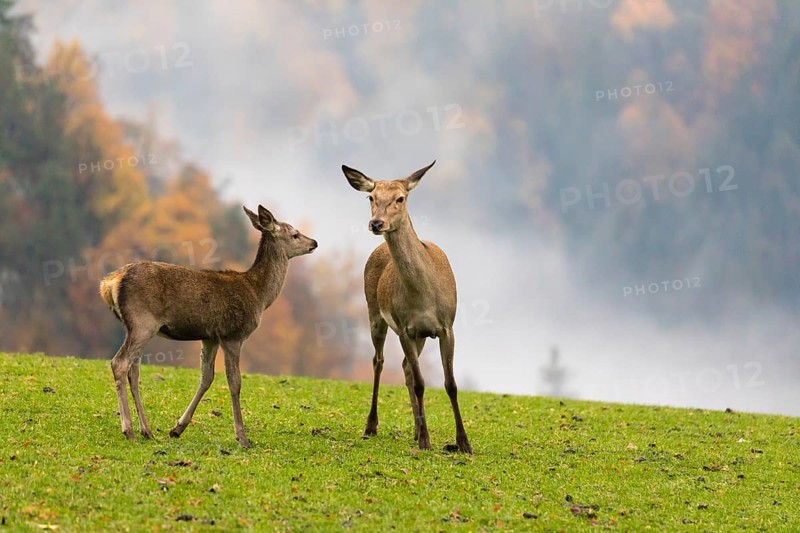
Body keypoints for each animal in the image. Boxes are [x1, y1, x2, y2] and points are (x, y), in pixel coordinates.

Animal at [98, 205, 317, 448]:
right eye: (295, 234)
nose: (314, 242)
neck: (259, 296)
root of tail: (109, 283)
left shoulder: (210, 337)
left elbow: (206, 378)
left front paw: (177, 428)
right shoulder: (233, 334)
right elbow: (234, 382)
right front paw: (242, 437)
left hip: (136, 327)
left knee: (133, 370)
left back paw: (147, 430)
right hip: (143, 321)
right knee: (120, 363)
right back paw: (129, 430)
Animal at [341, 161, 472, 453]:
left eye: (400, 198)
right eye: (371, 197)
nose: (376, 223)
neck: (424, 297)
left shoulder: (447, 327)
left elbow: (450, 384)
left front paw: (463, 443)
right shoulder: (403, 328)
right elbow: (423, 383)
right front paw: (426, 441)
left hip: (421, 335)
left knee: (405, 368)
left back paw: (415, 429)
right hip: (374, 313)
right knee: (379, 361)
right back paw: (373, 426)